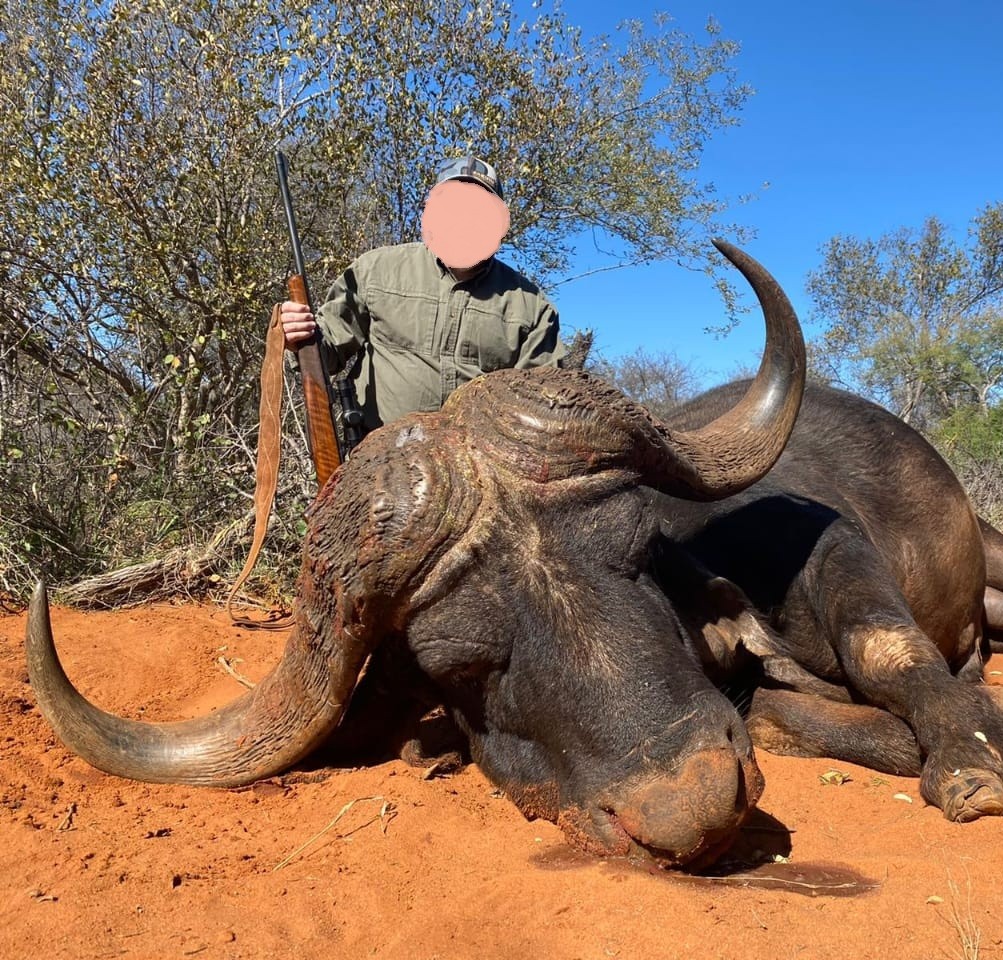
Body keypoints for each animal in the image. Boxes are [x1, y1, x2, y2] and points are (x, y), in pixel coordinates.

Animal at [26, 241, 1003, 870]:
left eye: (636, 554)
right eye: (458, 666)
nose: (688, 806)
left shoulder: (826, 545)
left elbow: (887, 649)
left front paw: (968, 759)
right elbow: (774, 712)